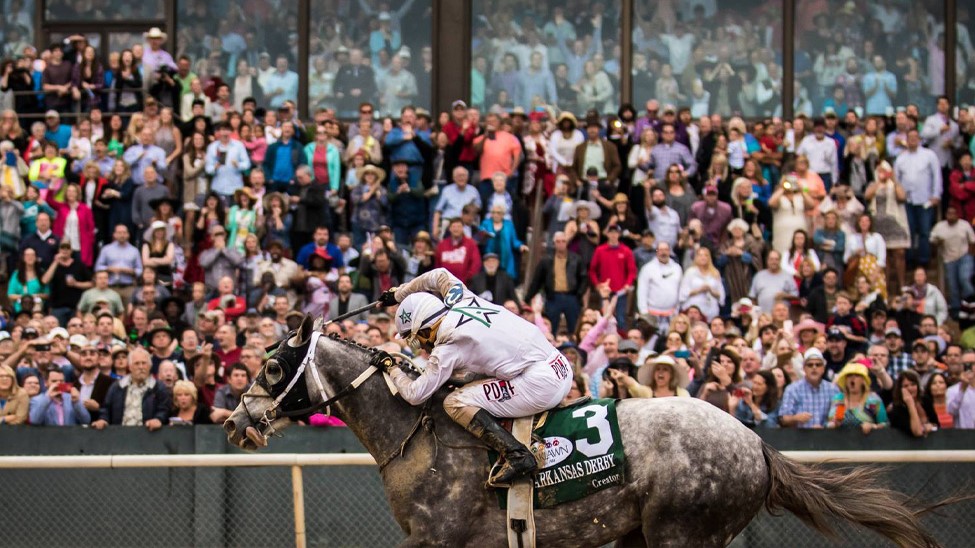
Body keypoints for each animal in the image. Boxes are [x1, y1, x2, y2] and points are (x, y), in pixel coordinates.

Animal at [227, 316, 944, 548]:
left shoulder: (437, 538)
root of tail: (755, 443)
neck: (417, 432)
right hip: (641, 534)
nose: (234, 421)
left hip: (683, 532)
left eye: (272, 365)